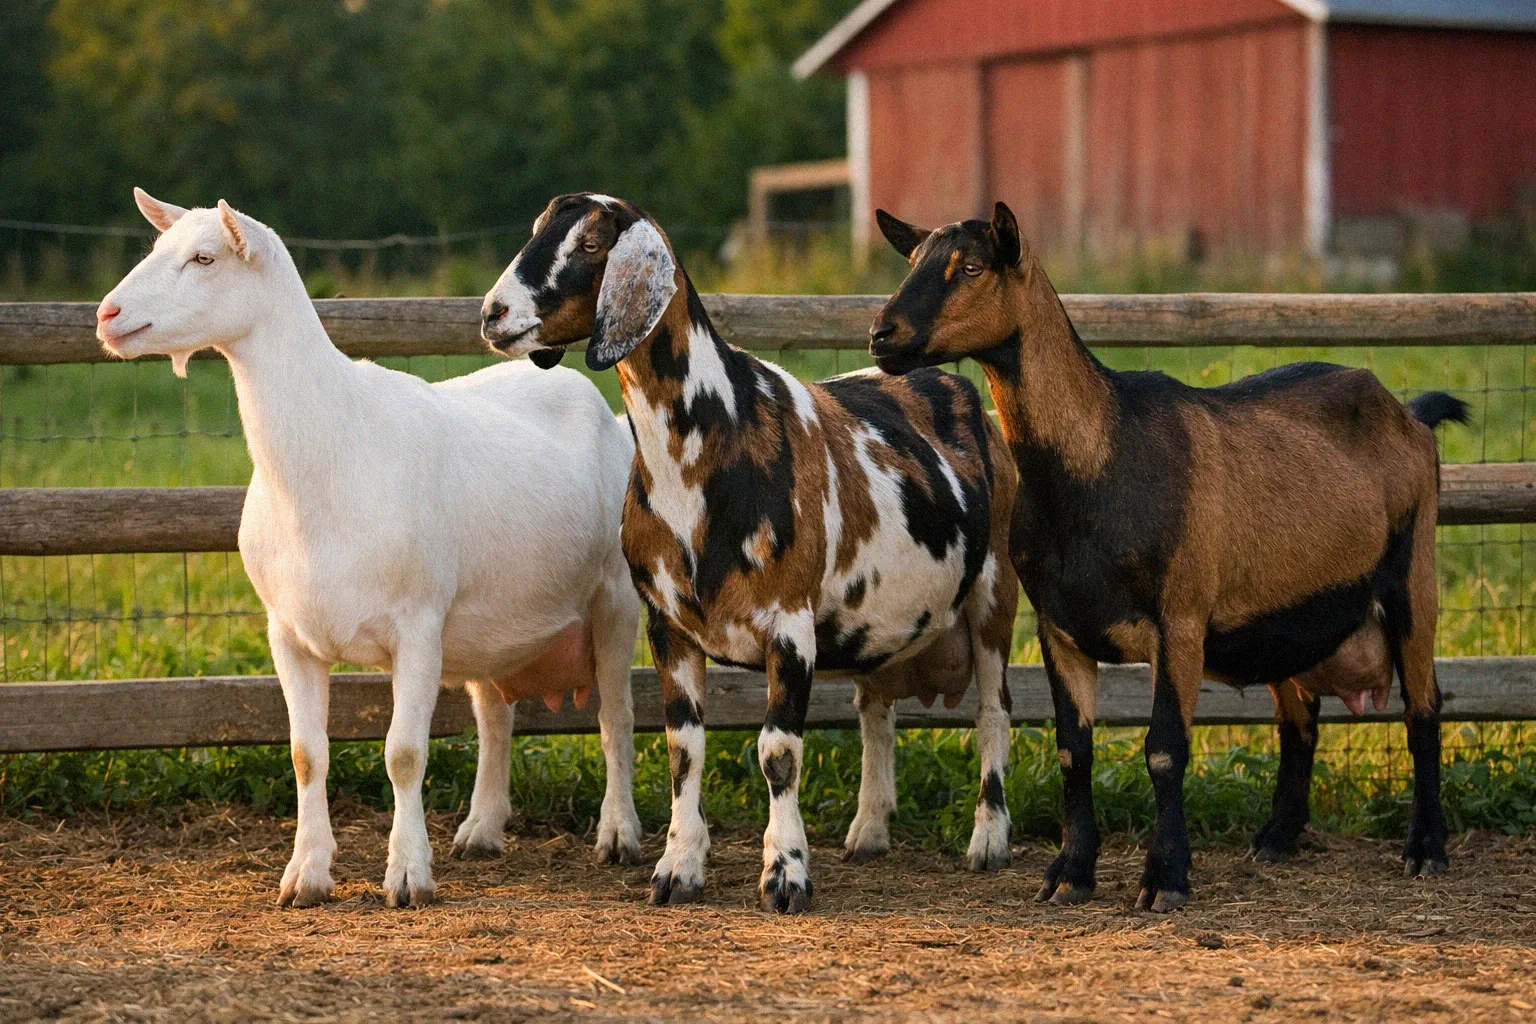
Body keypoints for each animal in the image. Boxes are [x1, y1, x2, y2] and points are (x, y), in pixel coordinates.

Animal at [96, 190, 643, 908]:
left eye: (205, 258)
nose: (106, 315)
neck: (330, 448)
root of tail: (597, 405)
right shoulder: (288, 633)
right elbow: (306, 753)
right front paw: (305, 874)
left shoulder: (418, 626)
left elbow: (403, 753)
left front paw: (407, 873)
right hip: (489, 620)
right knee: (495, 718)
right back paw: (481, 828)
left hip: (614, 598)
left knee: (615, 716)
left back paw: (619, 833)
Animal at [481, 193, 1020, 913]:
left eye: (593, 244)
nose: (493, 313)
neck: (716, 434)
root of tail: (958, 389)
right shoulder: (669, 625)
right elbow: (683, 747)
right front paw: (678, 867)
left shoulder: (788, 624)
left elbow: (778, 751)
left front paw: (786, 875)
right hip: (879, 613)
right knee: (875, 712)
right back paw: (869, 830)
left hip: (996, 590)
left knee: (993, 710)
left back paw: (988, 839)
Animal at [870, 202, 1466, 912]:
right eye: (912, 260)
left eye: (971, 267)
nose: (881, 334)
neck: (1101, 460)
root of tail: (1409, 413)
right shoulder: (1060, 626)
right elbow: (1074, 750)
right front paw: (1069, 872)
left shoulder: (1179, 619)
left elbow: (1164, 749)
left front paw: (1166, 879)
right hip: (1286, 614)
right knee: (1299, 717)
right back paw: (1277, 837)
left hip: (1413, 573)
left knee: (1423, 706)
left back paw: (1425, 848)